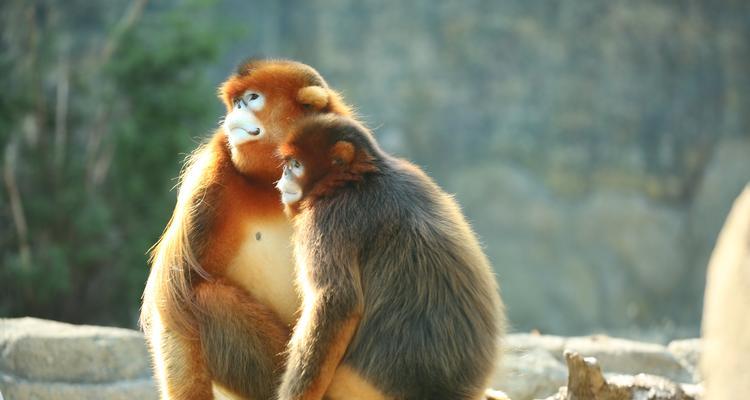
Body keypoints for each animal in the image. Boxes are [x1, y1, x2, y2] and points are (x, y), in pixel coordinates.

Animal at [140, 59, 354, 400]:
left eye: (252, 98)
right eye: (236, 101)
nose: (237, 109)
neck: (270, 182)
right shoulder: (209, 180)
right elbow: (175, 303)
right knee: (204, 297)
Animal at [274, 113, 506, 400]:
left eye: (296, 165)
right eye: (288, 164)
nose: (284, 176)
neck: (361, 177)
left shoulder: (326, 218)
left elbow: (337, 302)